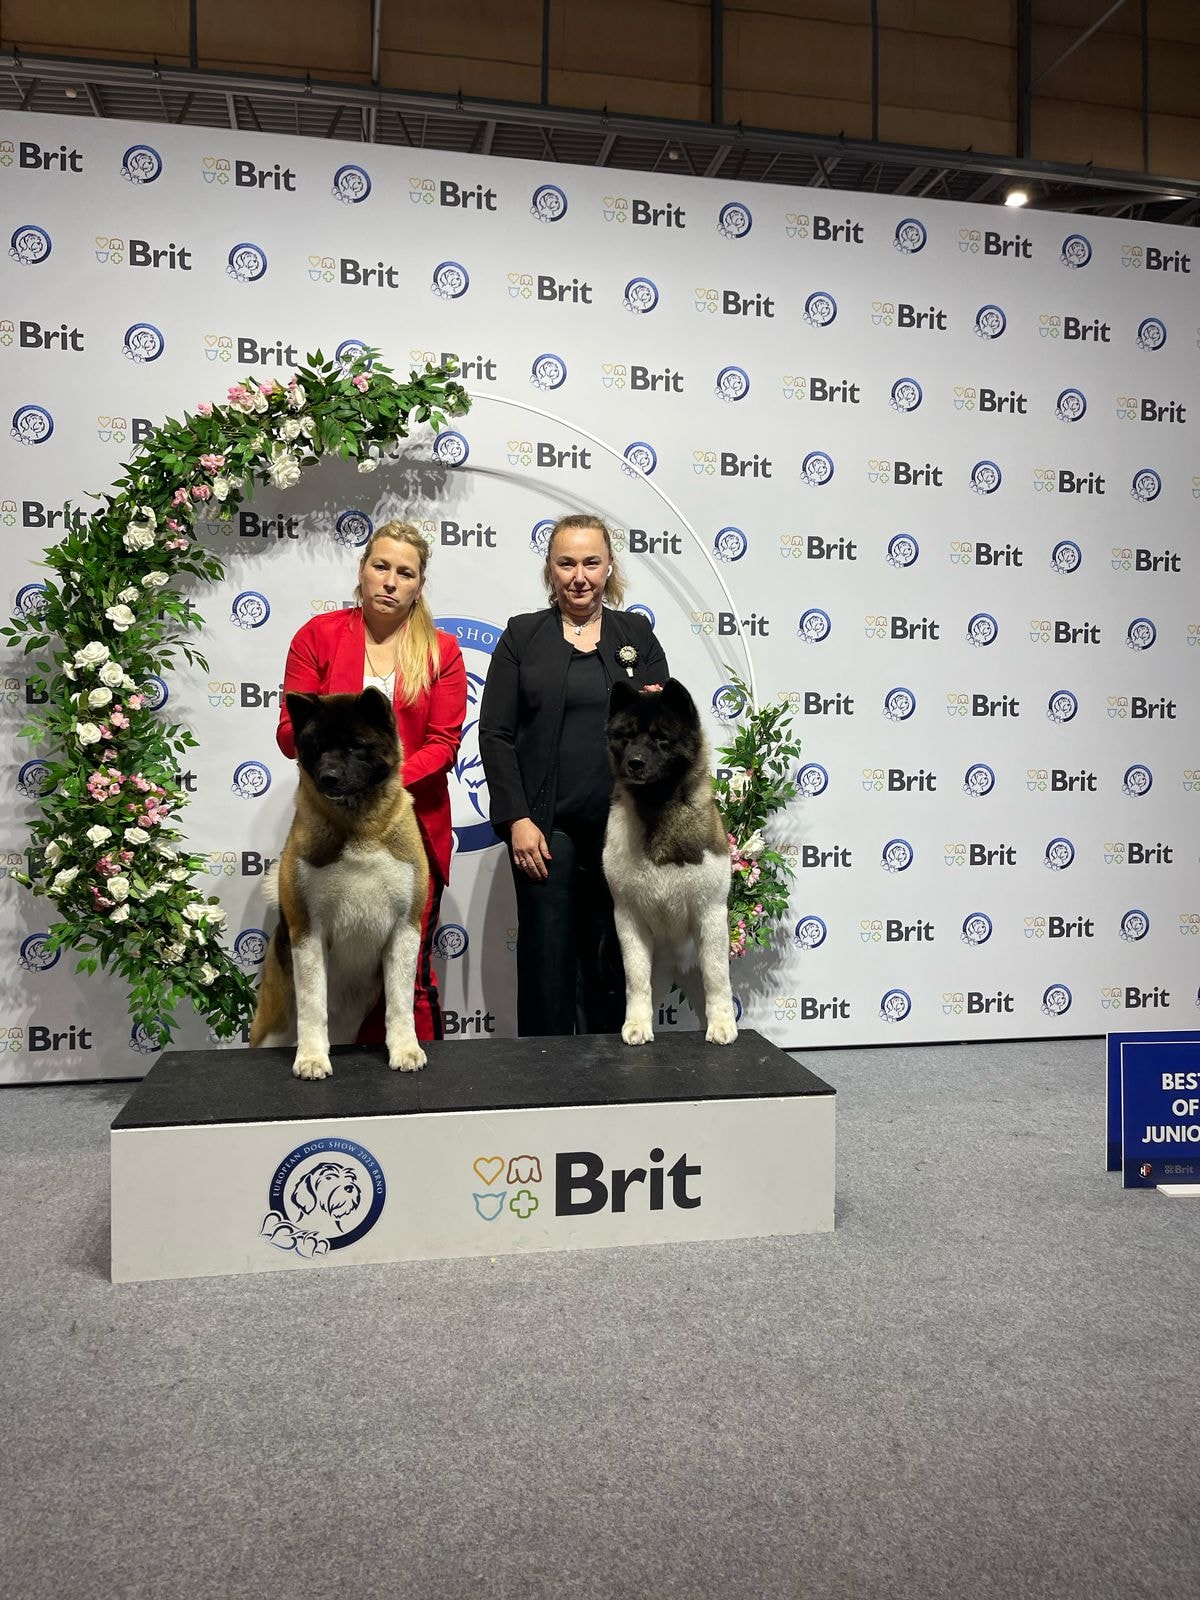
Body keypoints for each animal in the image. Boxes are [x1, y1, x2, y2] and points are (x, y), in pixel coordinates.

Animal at [248, 689, 429, 1079]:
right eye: (316, 747)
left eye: (355, 745)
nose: (327, 777)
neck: (359, 829)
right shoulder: (307, 932)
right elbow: (312, 1006)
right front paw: (312, 1058)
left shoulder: (405, 930)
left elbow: (400, 1004)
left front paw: (406, 1050)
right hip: (274, 1021)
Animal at [603, 678, 737, 1046]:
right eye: (626, 736)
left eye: (661, 738)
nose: (634, 763)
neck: (657, 810)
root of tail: (677, 966)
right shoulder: (628, 918)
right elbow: (635, 980)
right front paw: (636, 1024)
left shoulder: (710, 913)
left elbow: (718, 976)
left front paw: (723, 1024)